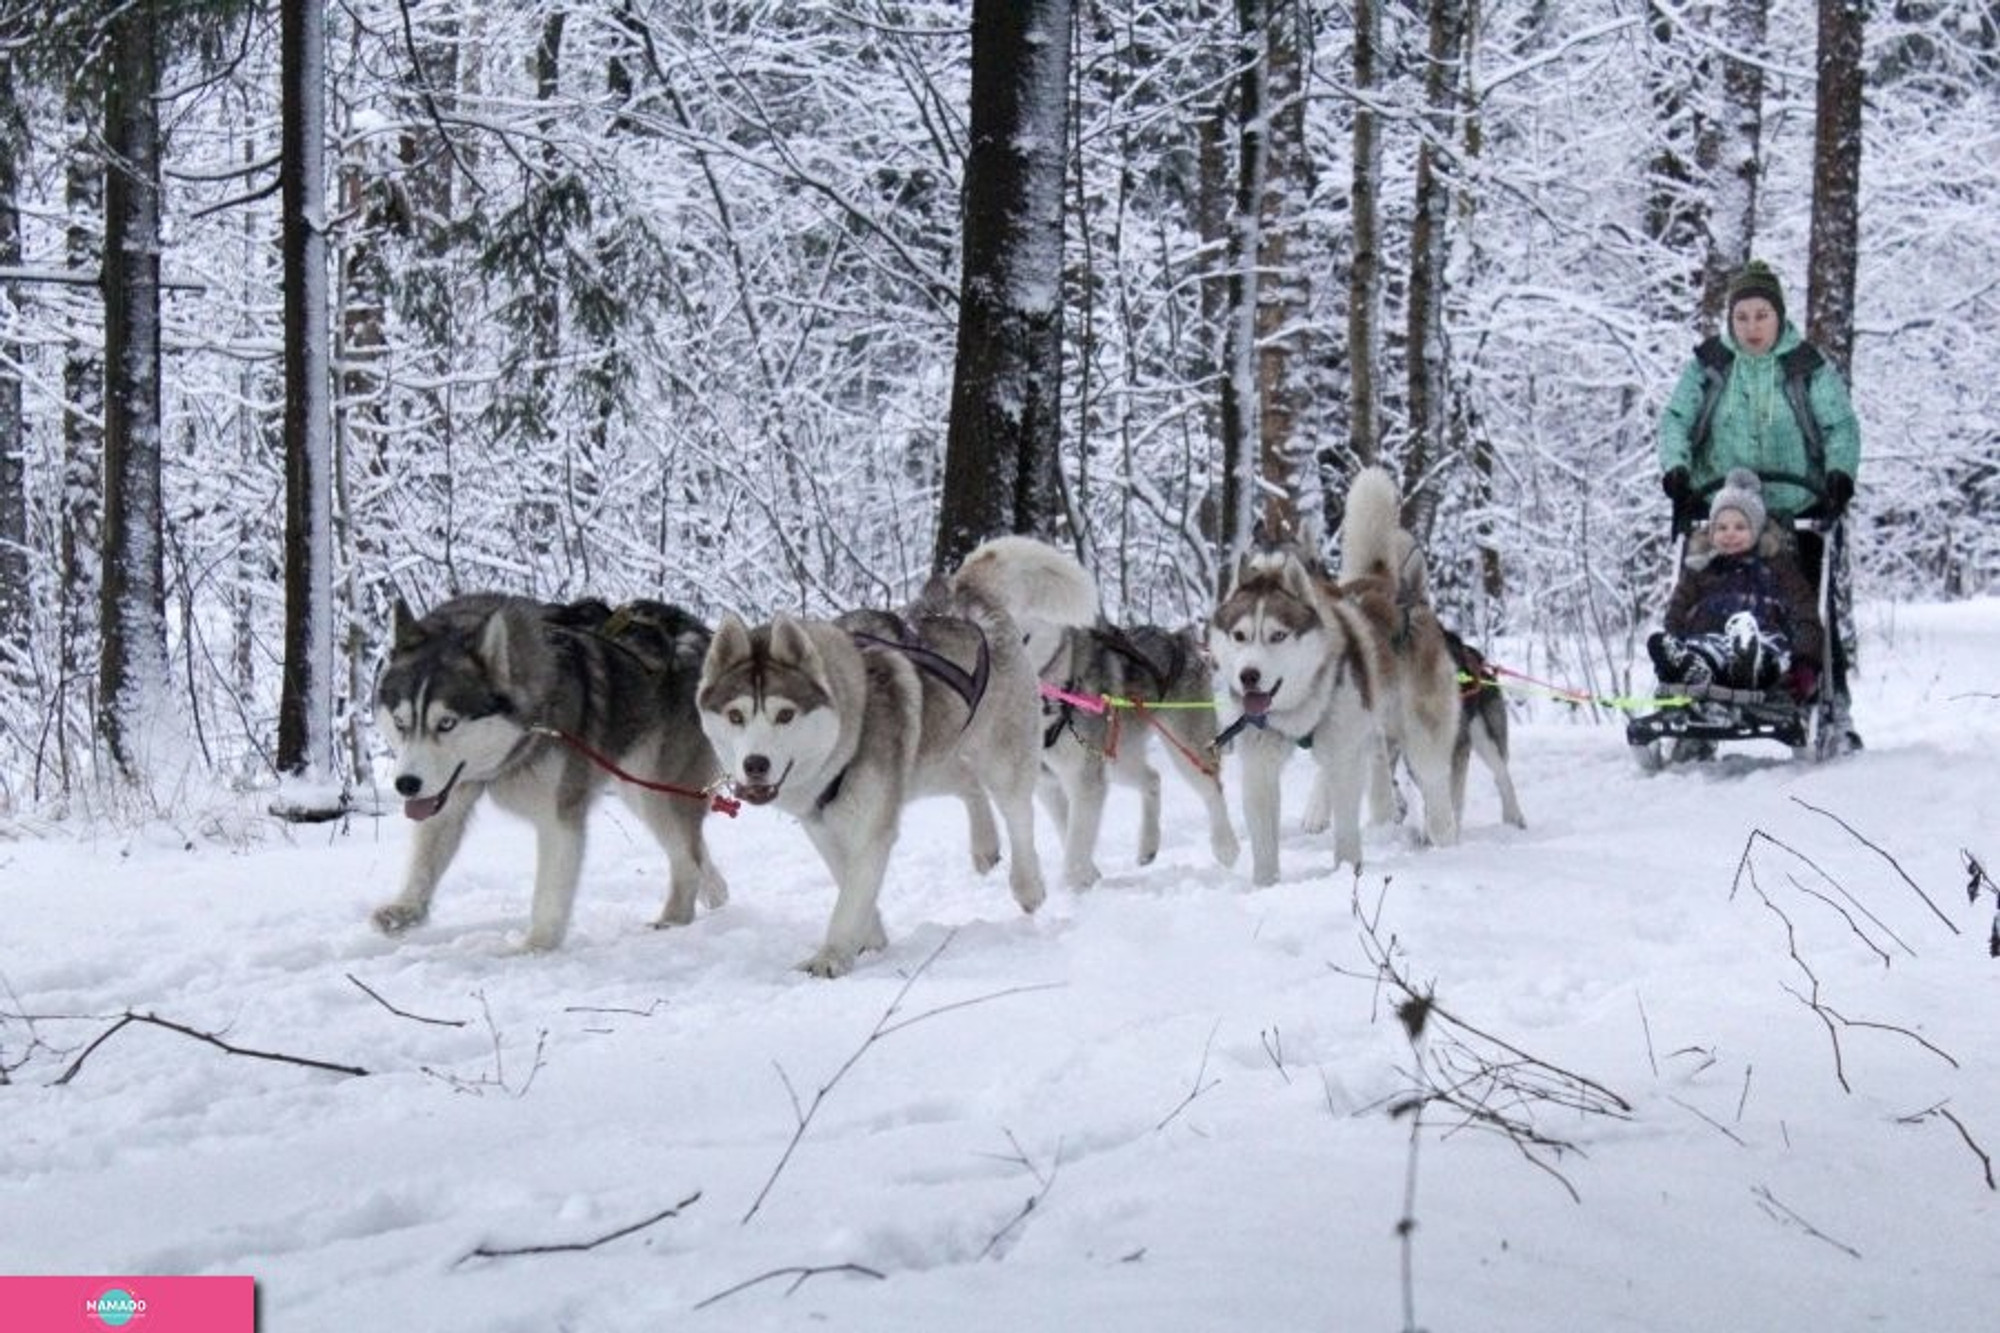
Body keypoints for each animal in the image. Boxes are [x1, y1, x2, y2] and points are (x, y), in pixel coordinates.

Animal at [374, 592, 728, 944]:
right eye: (400, 722)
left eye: (446, 723)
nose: (406, 784)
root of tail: (700, 634)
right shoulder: (450, 793)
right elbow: (426, 857)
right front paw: (406, 909)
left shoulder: (558, 813)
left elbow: (550, 892)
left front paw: (536, 946)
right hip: (637, 786)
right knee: (694, 849)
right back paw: (715, 889)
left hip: (654, 790)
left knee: (687, 858)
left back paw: (674, 919)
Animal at [700, 532, 1096, 976]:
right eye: (736, 716)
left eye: (784, 714)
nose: (755, 764)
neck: (848, 734)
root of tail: (965, 600)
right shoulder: (821, 825)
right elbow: (849, 883)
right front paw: (870, 937)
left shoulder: (872, 827)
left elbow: (851, 896)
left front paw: (830, 957)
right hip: (928, 757)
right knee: (968, 784)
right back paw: (984, 845)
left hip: (1002, 757)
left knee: (1019, 816)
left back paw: (1028, 885)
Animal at [1032, 620, 1232, 880]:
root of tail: (1177, 638)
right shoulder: (1047, 784)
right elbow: (1067, 830)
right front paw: (1089, 875)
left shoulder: (1084, 780)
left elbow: (1075, 845)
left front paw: (1075, 882)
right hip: (1116, 760)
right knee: (1153, 778)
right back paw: (1148, 845)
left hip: (1185, 746)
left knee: (1211, 787)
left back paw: (1226, 845)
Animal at [1208, 462, 1464, 876]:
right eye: (1240, 635)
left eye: (1277, 635)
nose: (1249, 676)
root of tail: (1389, 586)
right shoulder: (1260, 764)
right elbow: (1264, 848)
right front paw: (1266, 885)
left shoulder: (1344, 755)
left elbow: (1345, 830)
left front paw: (1347, 872)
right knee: (1377, 763)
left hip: (1421, 731)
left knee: (1434, 783)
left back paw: (1443, 838)